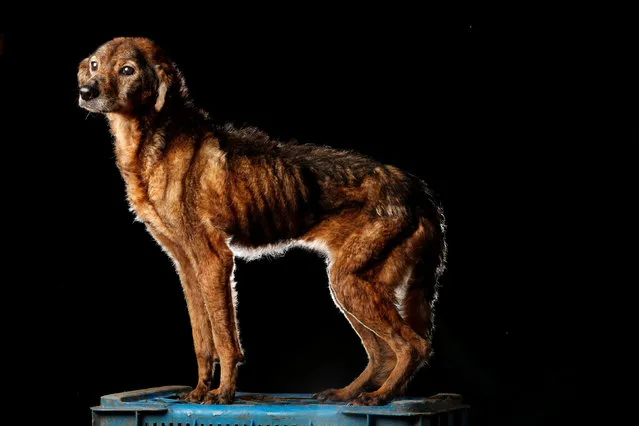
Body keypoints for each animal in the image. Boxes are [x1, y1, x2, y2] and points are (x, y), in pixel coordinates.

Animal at [77, 37, 448, 406]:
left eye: (128, 70)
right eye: (95, 65)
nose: (85, 91)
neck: (156, 141)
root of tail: (420, 191)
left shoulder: (215, 260)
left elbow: (226, 341)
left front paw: (223, 393)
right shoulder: (187, 267)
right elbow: (202, 341)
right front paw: (199, 390)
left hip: (351, 285)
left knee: (413, 346)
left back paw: (380, 397)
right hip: (349, 288)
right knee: (382, 353)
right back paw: (348, 393)